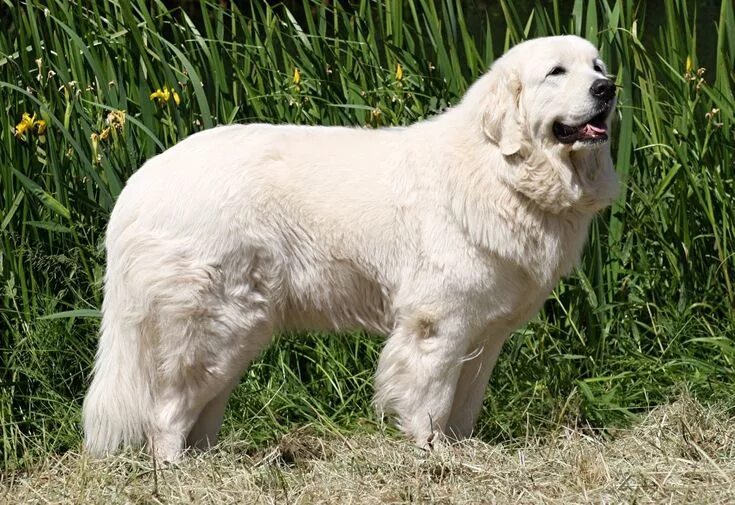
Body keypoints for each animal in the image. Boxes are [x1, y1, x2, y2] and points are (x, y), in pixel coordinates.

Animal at [82, 35, 620, 460]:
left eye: (597, 66)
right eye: (556, 72)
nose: (608, 88)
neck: (502, 171)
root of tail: (139, 183)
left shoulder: (484, 334)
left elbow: (464, 408)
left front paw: (461, 454)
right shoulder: (438, 326)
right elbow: (431, 402)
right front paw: (432, 457)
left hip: (238, 333)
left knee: (200, 410)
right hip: (216, 324)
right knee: (166, 411)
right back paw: (176, 472)